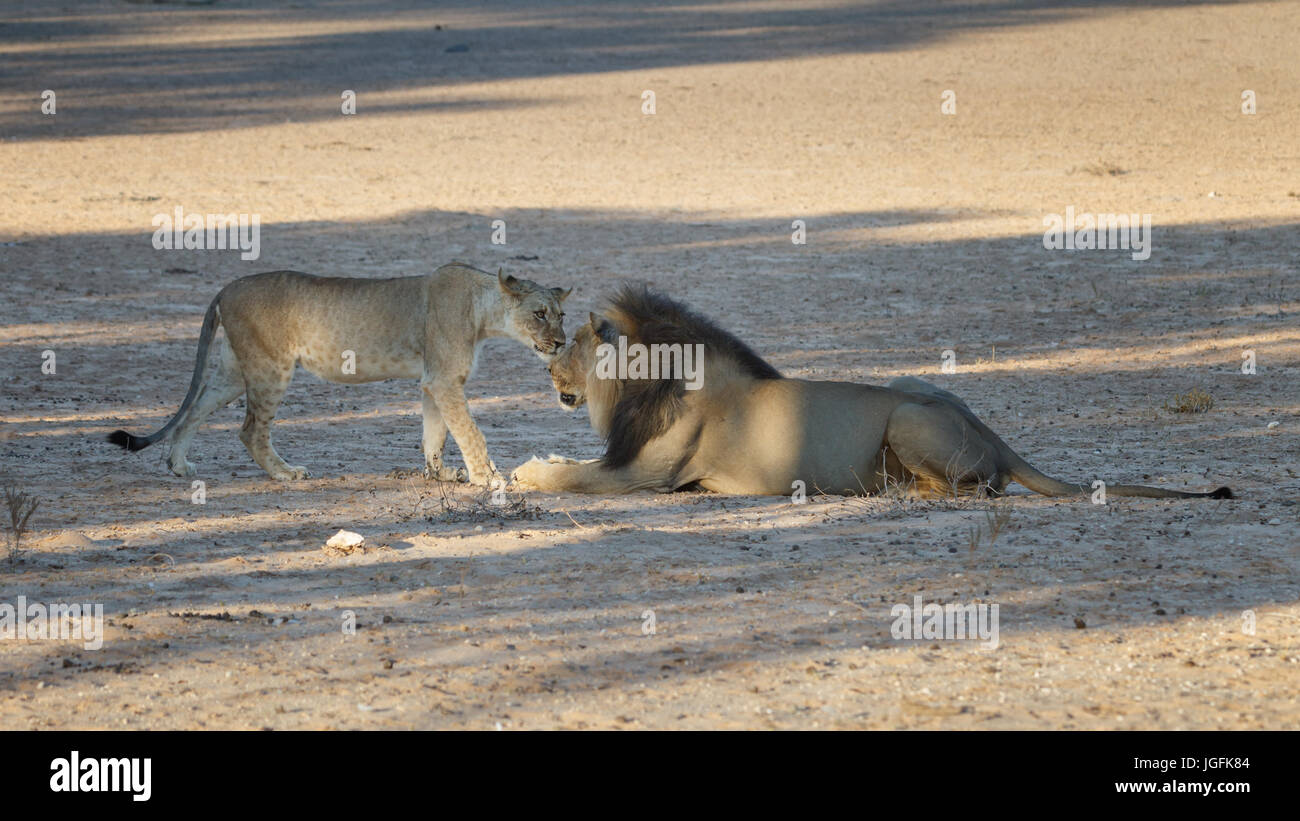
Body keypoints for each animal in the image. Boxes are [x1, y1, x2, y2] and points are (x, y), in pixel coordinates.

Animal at [114, 262, 572, 483]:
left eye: (562, 315)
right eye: (539, 314)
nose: (561, 343)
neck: (483, 312)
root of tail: (226, 287)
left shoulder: (434, 382)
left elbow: (436, 434)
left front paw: (440, 474)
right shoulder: (444, 380)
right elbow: (470, 433)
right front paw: (486, 477)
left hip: (233, 372)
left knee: (193, 410)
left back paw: (178, 466)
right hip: (271, 368)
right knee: (249, 430)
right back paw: (285, 473)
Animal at [506, 281, 1227, 501]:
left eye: (570, 341)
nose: (547, 367)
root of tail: (989, 428)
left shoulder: (648, 471)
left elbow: (572, 474)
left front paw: (526, 470)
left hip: (906, 415)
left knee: (982, 486)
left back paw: (899, 488)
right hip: (913, 389)